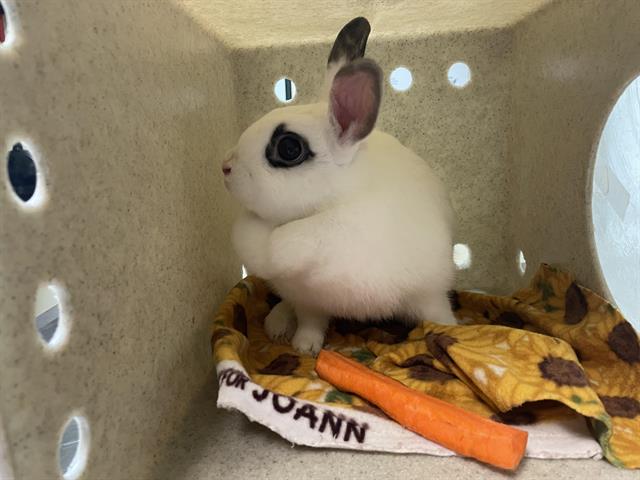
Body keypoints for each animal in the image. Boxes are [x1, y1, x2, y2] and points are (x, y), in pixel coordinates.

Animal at [222, 16, 458, 354]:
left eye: (289, 148)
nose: (225, 167)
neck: (332, 204)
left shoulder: (426, 290)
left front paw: (451, 332)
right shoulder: (309, 301)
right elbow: (310, 324)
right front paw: (304, 348)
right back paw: (277, 322)